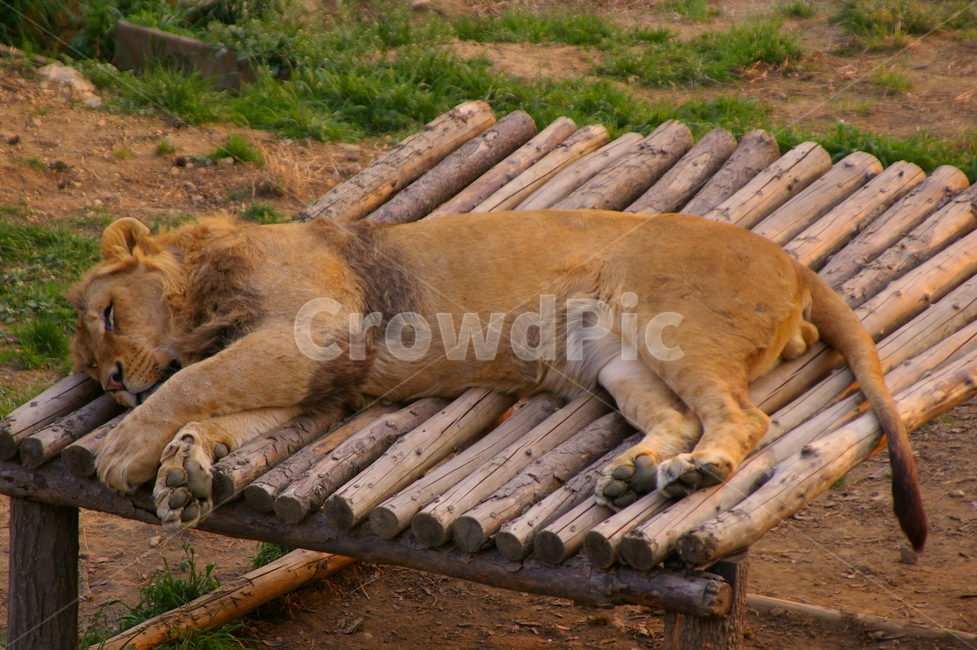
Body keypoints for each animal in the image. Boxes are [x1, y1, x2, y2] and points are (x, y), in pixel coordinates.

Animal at [68, 210, 926, 551]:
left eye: (106, 314)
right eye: (82, 367)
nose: (110, 383)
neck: (201, 297)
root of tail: (793, 261)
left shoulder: (316, 334)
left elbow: (189, 385)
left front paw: (124, 452)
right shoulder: (320, 376)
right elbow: (218, 407)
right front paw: (181, 472)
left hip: (667, 317)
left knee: (743, 420)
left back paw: (697, 474)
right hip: (615, 357)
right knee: (679, 418)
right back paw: (634, 474)